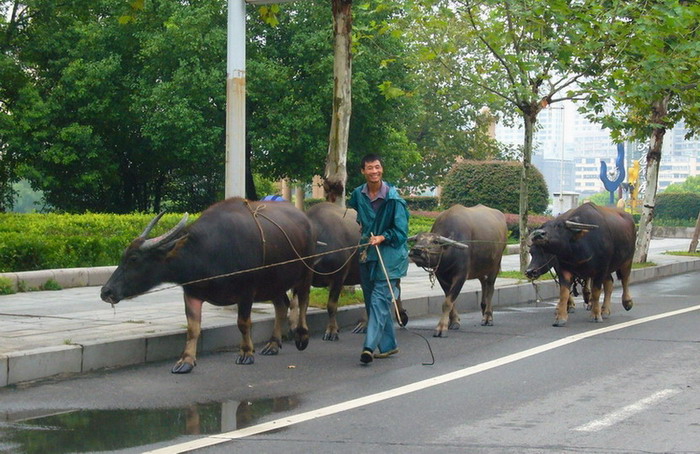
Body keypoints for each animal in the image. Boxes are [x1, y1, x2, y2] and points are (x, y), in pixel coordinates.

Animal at [100, 198, 314, 372]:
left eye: (134, 259)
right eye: (123, 255)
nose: (106, 291)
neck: (207, 250)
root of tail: (305, 219)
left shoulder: (246, 292)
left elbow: (243, 323)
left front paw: (246, 353)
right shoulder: (192, 293)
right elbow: (193, 328)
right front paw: (186, 361)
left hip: (305, 274)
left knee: (303, 301)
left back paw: (302, 336)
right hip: (274, 283)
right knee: (282, 305)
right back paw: (273, 345)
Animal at [408, 204, 506, 336]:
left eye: (435, 241)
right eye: (417, 240)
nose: (417, 251)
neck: (448, 254)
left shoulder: (461, 276)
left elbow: (447, 302)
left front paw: (441, 327)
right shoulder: (441, 276)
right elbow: (450, 300)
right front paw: (454, 321)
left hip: (494, 266)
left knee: (490, 288)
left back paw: (487, 317)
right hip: (481, 268)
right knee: (483, 284)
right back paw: (483, 309)